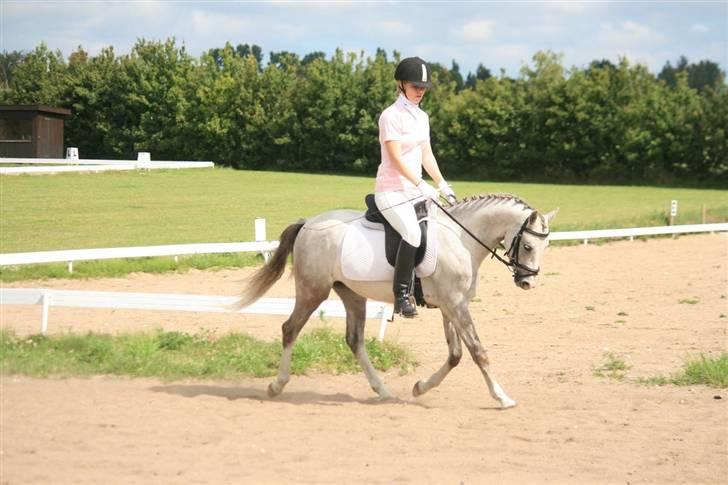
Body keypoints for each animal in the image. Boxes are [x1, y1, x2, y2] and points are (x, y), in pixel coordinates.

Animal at [234, 193, 558, 408]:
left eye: (545, 246)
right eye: (529, 246)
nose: (527, 282)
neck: (461, 238)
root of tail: (308, 222)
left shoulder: (451, 305)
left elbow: (455, 355)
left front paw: (420, 388)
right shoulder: (455, 304)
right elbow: (478, 351)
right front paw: (502, 397)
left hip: (352, 294)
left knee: (354, 340)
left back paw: (383, 391)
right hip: (313, 290)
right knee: (290, 329)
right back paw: (276, 386)